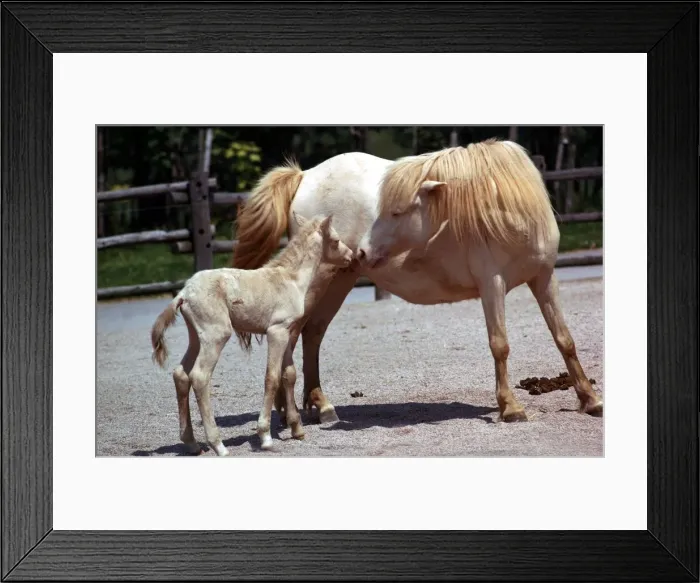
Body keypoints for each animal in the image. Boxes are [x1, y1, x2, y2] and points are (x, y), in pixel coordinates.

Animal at [151, 214, 354, 455]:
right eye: (335, 240)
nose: (351, 256)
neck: (291, 279)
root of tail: (183, 293)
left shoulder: (287, 331)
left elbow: (289, 374)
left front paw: (297, 429)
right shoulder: (276, 331)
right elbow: (272, 377)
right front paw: (265, 436)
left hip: (196, 336)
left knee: (181, 374)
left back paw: (192, 443)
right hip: (216, 334)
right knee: (199, 377)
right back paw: (218, 445)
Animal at [232, 139, 603, 424]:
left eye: (397, 211)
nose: (363, 250)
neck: (501, 208)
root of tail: (304, 176)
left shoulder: (544, 278)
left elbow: (564, 339)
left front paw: (590, 399)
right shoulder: (492, 284)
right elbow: (500, 344)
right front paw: (510, 407)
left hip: (338, 282)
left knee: (312, 334)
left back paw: (318, 407)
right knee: (294, 338)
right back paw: (292, 413)